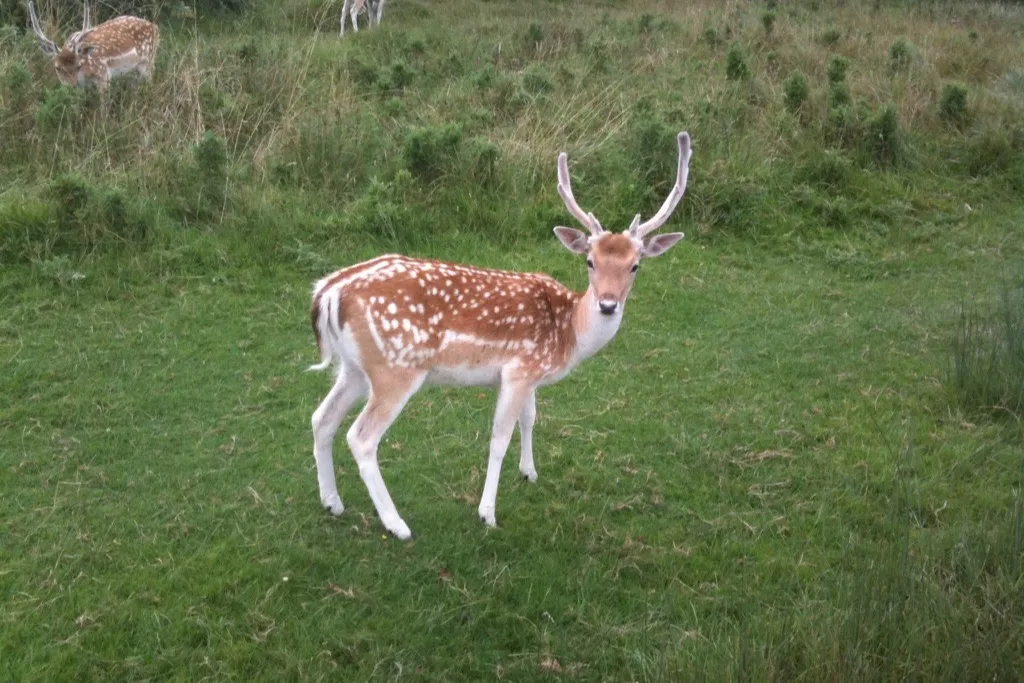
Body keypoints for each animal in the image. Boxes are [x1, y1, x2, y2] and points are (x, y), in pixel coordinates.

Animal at [27, 0, 159, 90]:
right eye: (57, 68)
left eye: (78, 66)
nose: (72, 87)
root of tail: (155, 27)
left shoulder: (103, 75)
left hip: (149, 62)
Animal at [308, 132, 692, 540]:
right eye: (590, 261)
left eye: (635, 266)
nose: (607, 304)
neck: (568, 334)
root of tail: (329, 292)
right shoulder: (518, 371)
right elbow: (498, 438)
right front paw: (487, 513)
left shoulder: (530, 371)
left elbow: (531, 417)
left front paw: (529, 472)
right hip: (395, 367)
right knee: (361, 437)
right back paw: (397, 525)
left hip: (354, 368)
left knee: (322, 418)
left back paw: (332, 503)